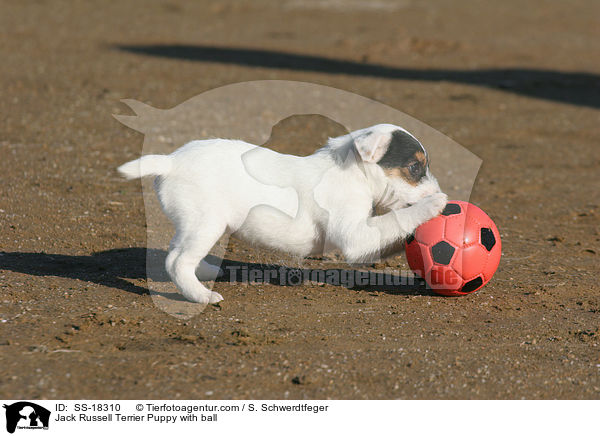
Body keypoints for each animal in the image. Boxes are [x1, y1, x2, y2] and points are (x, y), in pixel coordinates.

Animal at [118, 123, 446, 304]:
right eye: (414, 167)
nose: (438, 190)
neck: (353, 171)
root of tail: (170, 161)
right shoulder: (357, 237)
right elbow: (396, 219)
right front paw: (434, 204)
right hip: (206, 223)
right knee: (177, 261)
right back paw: (201, 296)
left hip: (191, 222)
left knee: (175, 251)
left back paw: (206, 271)